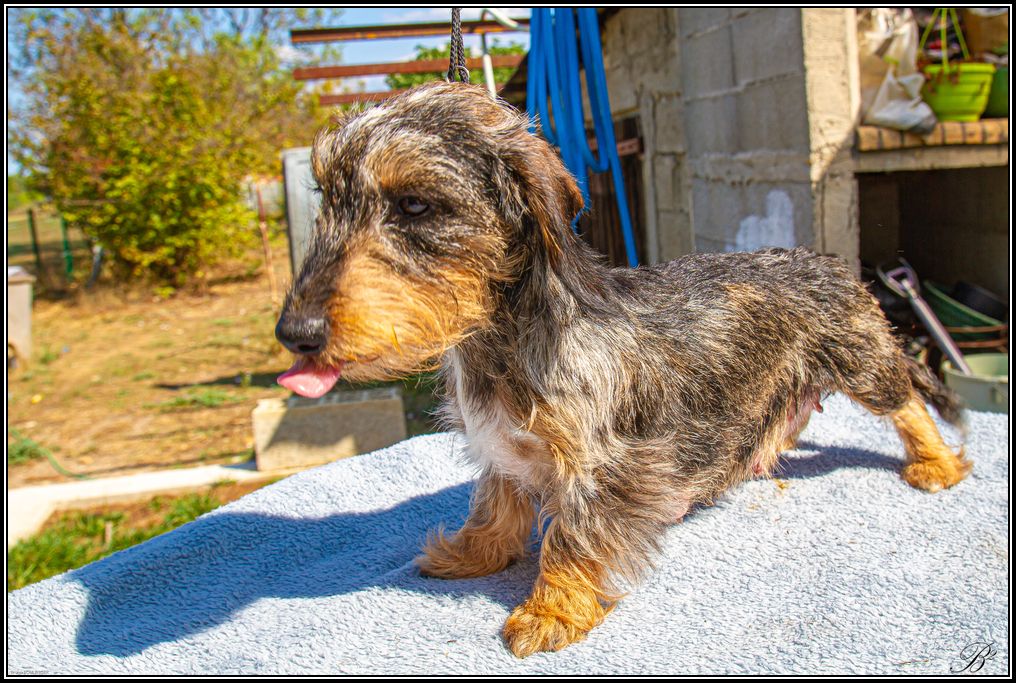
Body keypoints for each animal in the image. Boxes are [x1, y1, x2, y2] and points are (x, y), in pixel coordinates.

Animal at [275, 81, 971, 658]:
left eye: (415, 204)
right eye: (327, 200)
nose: (294, 334)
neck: (501, 341)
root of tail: (829, 260)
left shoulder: (603, 466)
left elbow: (572, 537)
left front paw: (551, 609)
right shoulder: (501, 450)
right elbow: (495, 505)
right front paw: (474, 553)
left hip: (862, 360)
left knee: (908, 401)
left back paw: (935, 463)